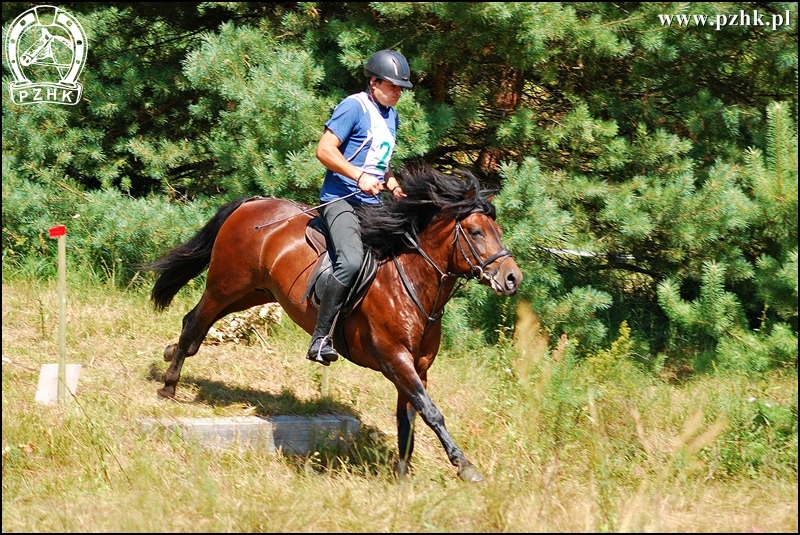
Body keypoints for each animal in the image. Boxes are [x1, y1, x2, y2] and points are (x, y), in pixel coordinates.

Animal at [145, 163, 524, 482]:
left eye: (497, 230)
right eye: (475, 232)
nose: (512, 278)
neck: (412, 282)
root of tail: (251, 203)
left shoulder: (418, 366)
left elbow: (409, 416)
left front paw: (403, 473)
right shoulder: (396, 360)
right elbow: (431, 412)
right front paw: (464, 465)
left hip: (253, 291)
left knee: (196, 323)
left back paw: (170, 355)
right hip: (227, 284)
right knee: (196, 322)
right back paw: (169, 386)